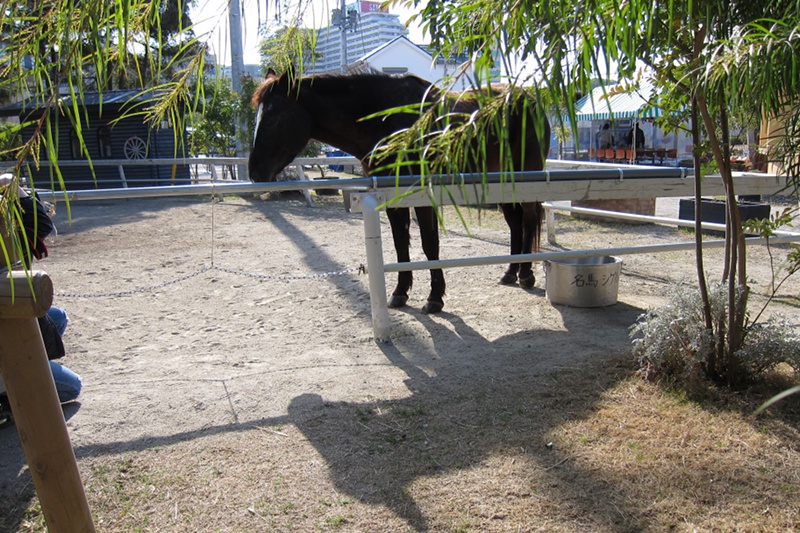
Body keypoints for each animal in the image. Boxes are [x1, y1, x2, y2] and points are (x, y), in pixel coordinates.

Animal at [249, 68, 550, 314]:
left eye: (274, 118)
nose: (254, 173)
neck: (388, 122)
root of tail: (530, 99)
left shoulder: (423, 196)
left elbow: (430, 244)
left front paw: (435, 298)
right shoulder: (391, 197)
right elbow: (399, 244)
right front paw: (400, 293)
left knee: (529, 220)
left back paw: (526, 275)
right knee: (515, 223)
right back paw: (511, 272)